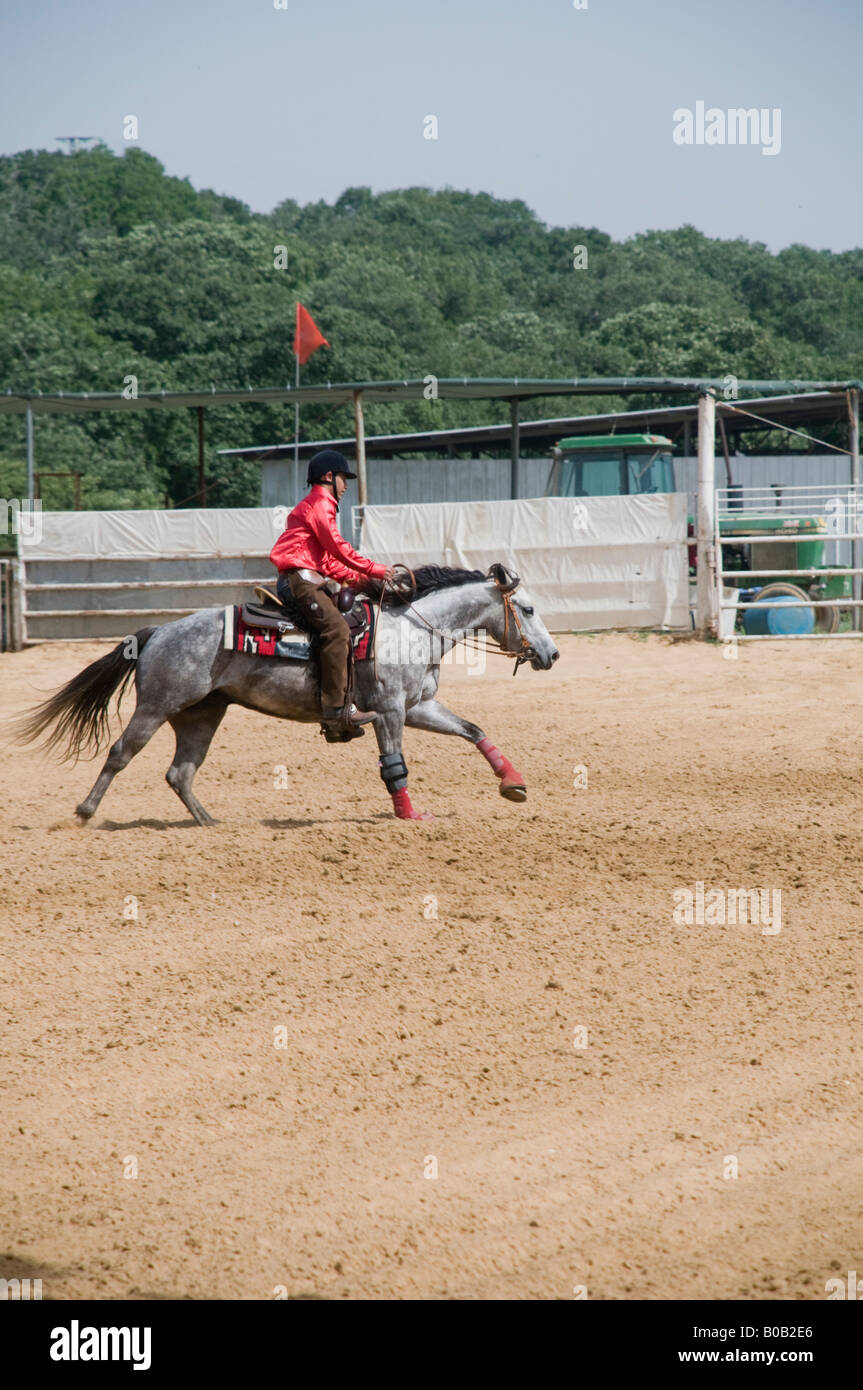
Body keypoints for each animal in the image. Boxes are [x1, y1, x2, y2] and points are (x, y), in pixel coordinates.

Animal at [16, 567, 561, 822]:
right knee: (120, 753)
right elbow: (395, 766)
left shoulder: (417, 707)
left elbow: (473, 729)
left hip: (201, 715)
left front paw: (512, 782)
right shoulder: (388, 712)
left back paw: (209, 822)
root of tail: (158, 632)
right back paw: (85, 813)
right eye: (529, 609)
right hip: (155, 707)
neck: (409, 629)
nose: (552, 655)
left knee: (180, 772)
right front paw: (409, 814)